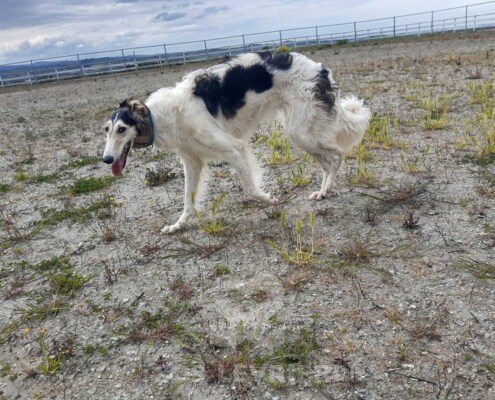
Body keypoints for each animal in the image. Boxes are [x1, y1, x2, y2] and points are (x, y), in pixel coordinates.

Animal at [101, 53, 372, 234]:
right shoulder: (192, 161)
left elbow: (251, 188)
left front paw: (270, 200)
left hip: (300, 132)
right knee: (328, 162)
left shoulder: (234, 148)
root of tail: (319, 68)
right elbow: (188, 201)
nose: (106, 159)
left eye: (122, 129)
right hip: (301, 133)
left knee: (337, 155)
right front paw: (177, 225)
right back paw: (321, 192)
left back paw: (325, 189)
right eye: (106, 130)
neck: (163, 115)